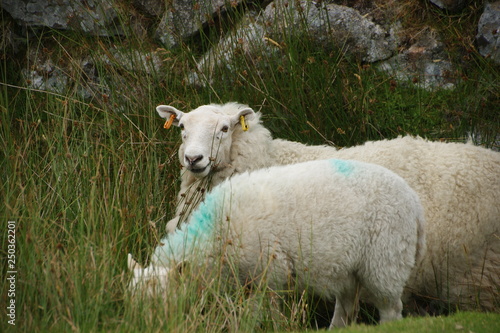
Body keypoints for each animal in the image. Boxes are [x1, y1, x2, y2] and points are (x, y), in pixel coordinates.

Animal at [129, 158, 426, 326]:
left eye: (164, 303)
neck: (214, 234)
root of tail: (414, 201)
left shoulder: (268, 273)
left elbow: (261, 313)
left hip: (386, 259)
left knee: (390, 309)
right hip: (349, 269)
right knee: (346, 308)